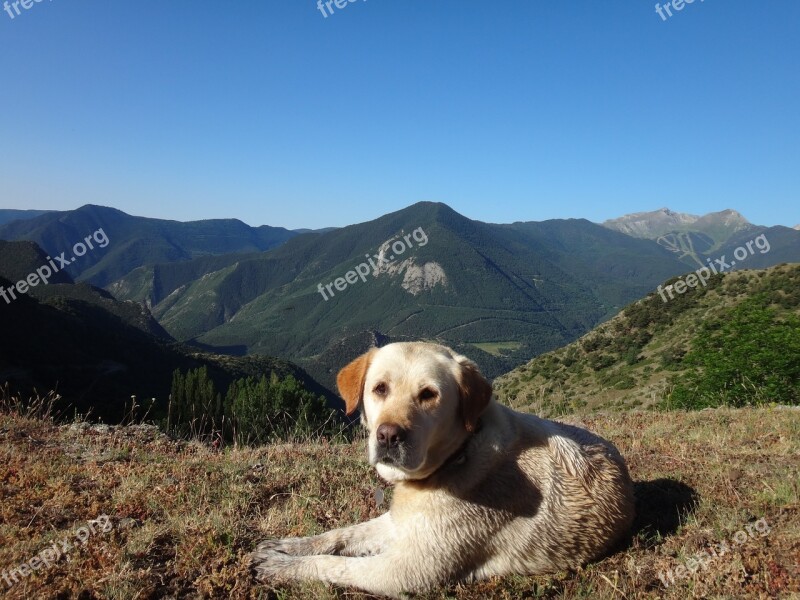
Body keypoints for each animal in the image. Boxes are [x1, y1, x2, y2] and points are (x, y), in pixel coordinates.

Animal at [253, 342, 636, 596]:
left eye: (428, 394)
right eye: (379, 388)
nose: (388, 435)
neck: (456, 457)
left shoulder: (405, 570)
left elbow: (335, 564)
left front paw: (282, 567)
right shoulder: (398, 524)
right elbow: (338, 536)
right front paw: (286, 547)